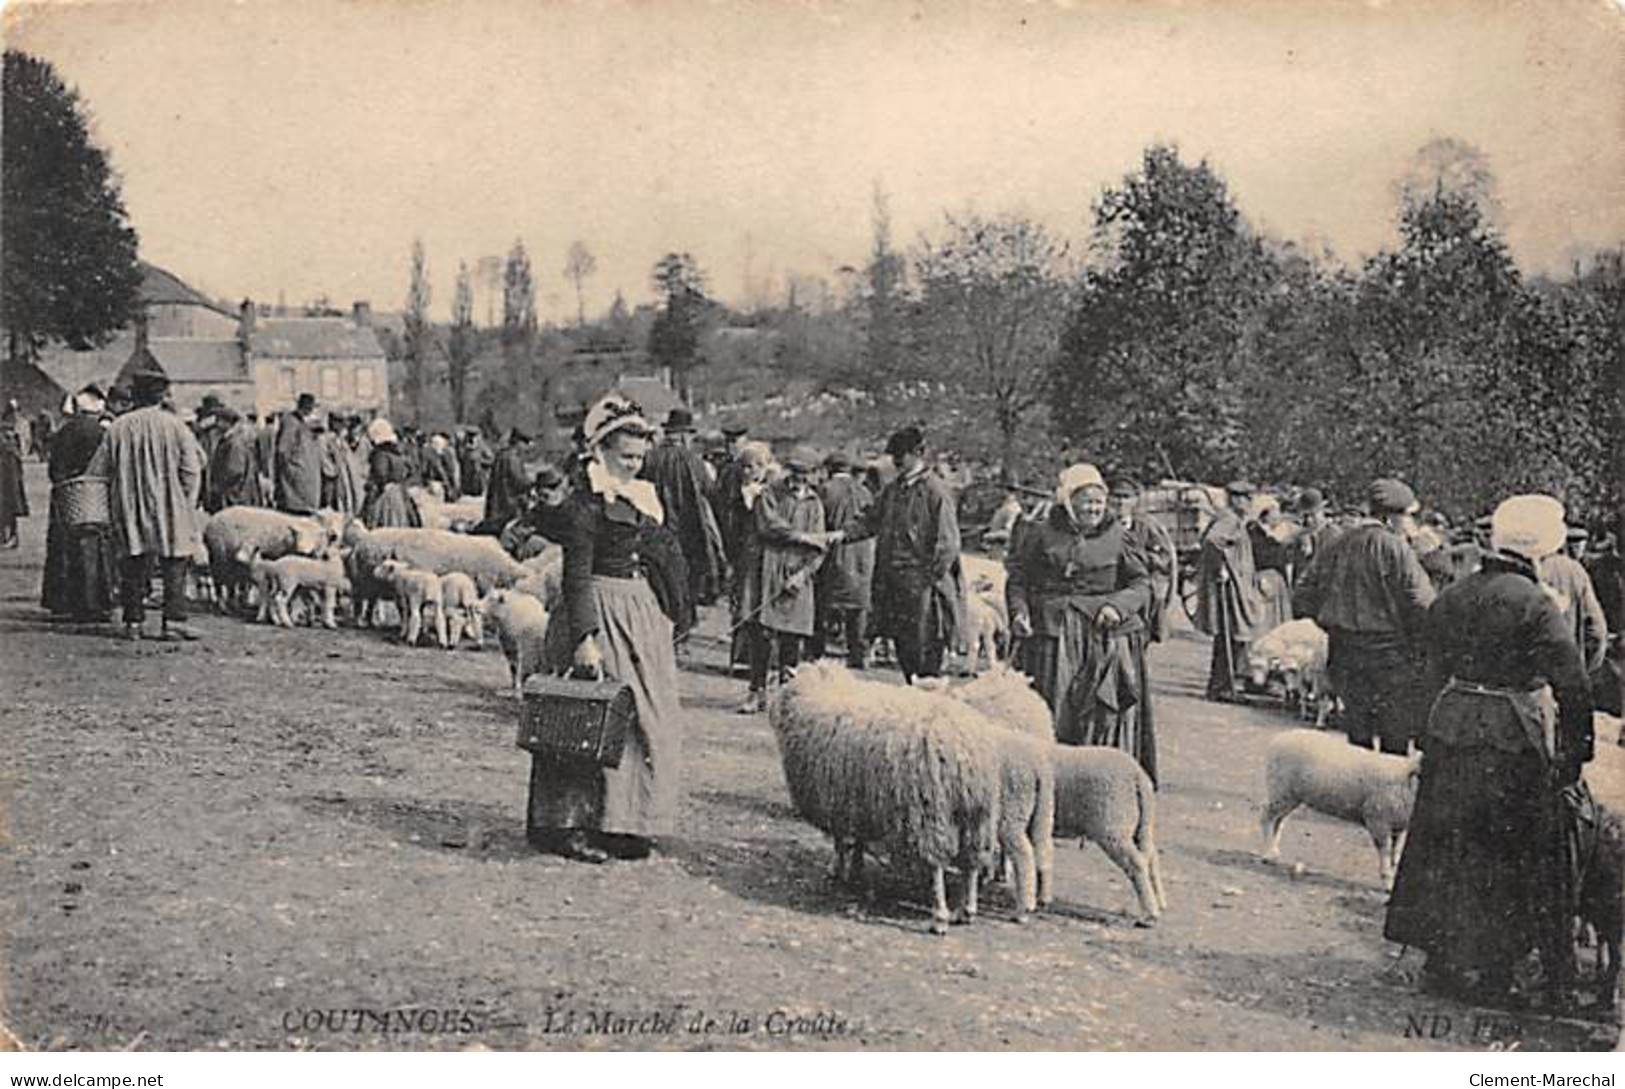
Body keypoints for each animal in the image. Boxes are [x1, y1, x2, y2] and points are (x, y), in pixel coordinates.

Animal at [1261, 728, 1417, 890]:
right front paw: (1387, 883)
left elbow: (1395, 855)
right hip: (1280, 789)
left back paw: (1274, 852)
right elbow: (1385, 853)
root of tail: (1280, 738)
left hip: (1291, 796)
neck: (1406, 779)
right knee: (1266, 816)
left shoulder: (1399, 827)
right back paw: (1267, 853)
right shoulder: (1378, 821)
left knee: (1278, 821)